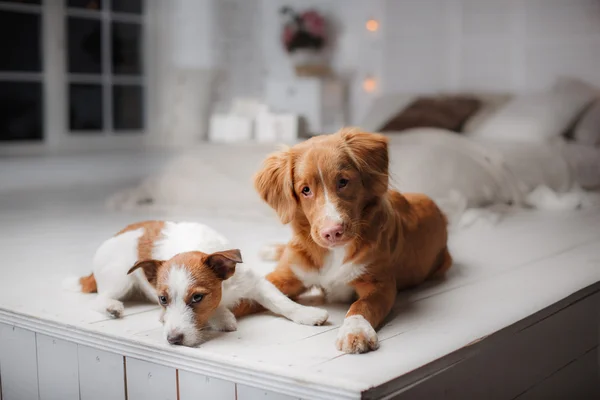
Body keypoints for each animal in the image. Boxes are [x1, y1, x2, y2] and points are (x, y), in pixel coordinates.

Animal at [239, 127, 450, 354]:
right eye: (305, 190)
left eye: (343, 182)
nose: (332, 232)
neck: (333, 253)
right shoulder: (285, 276)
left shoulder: (380, 284)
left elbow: (361, 305)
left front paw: (355, 330)